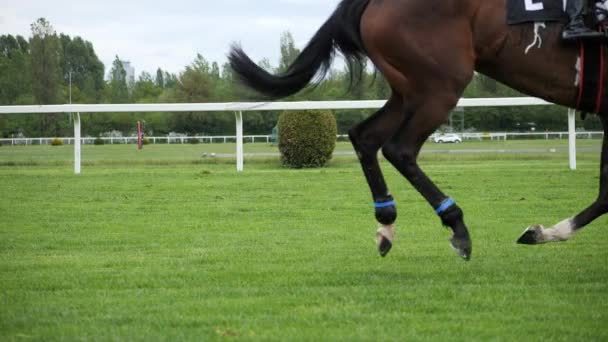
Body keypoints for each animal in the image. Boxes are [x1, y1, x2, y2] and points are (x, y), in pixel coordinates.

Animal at [229, 0, 608, 260]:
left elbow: (605, 191)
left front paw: (544, 232)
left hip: (409, 87)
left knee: (365, 137)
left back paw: (386, 222)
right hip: (440, 84)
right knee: (399, 148)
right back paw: (455, 225)